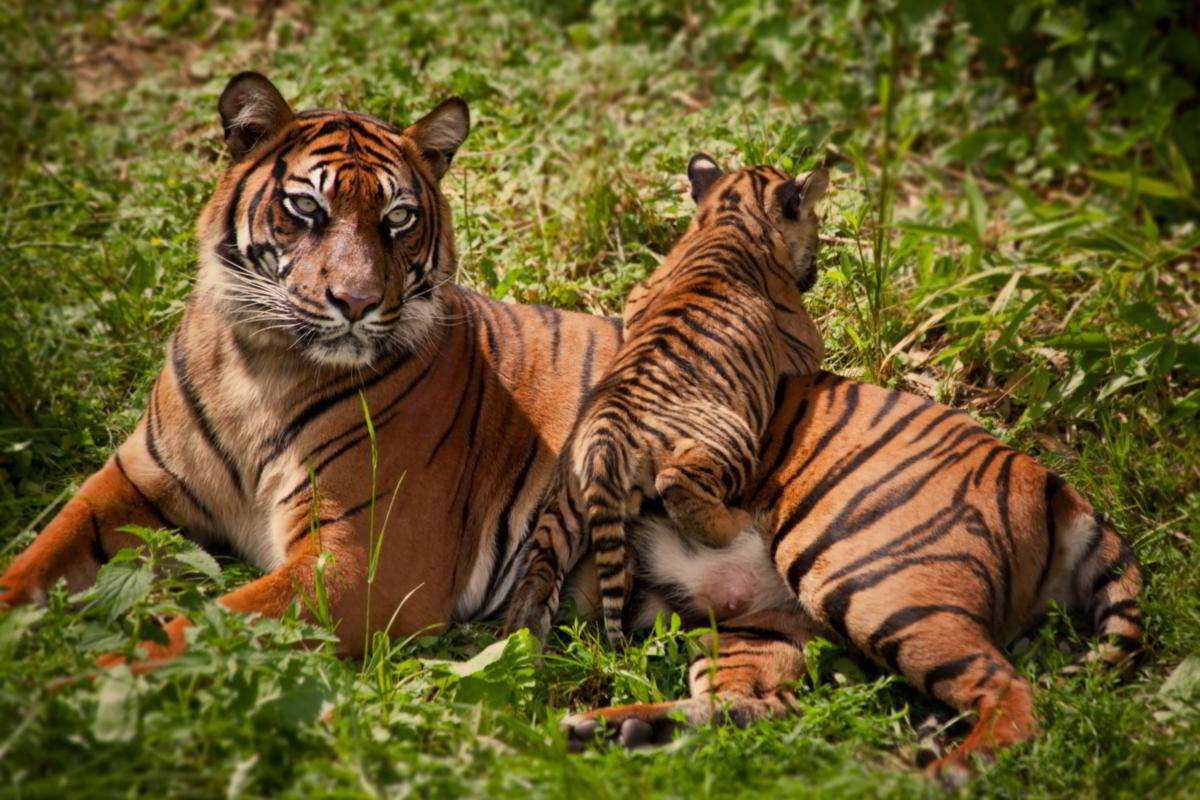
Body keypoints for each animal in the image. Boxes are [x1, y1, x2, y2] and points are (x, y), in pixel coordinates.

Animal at [0, 73, 1137, 777]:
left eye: (398, 220)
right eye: (308, 211)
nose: (355, 305)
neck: (262, 362)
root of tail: (1039, 470)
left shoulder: (363, 564)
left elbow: (203, 623)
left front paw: (67, 687)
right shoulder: (133, 485)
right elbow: (34, 559)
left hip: (869, 567)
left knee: (1012, 693)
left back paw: (937, 769)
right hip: (761, 631)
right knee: (758, 705)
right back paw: (612, 727)